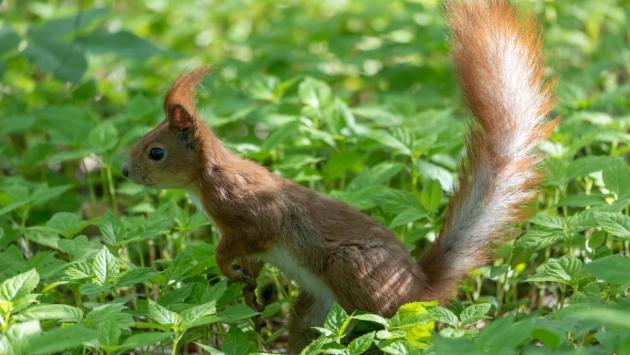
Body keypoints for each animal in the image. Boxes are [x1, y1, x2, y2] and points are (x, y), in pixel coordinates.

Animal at [123, 0, 556, 354]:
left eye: (156, 152)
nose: (125, 170)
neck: (206, 179)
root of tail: (422, 291)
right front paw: (246, 283)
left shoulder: (250, 209)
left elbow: (241, 240)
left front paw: (226, 266)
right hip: (313, 305)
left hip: (352, 271)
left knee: (383, 327)